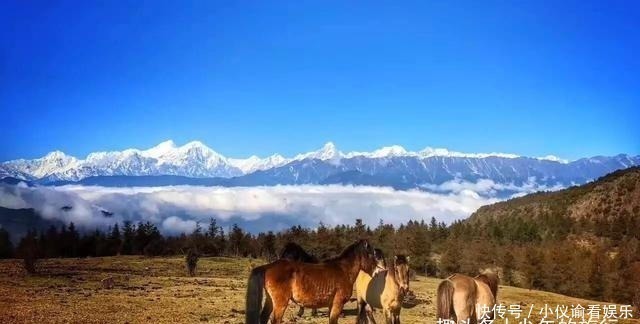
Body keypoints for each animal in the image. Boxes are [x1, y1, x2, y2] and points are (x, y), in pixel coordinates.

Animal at [244, 238, 376, 324]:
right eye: (370, 254)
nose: (375, 273)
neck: (343, 270)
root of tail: (268, 267)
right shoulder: (337, 304)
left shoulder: (331, 305)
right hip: (280, 303)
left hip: (270, 300)